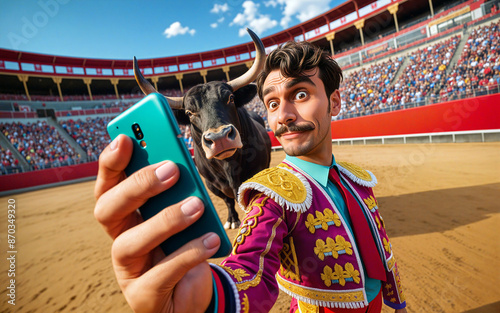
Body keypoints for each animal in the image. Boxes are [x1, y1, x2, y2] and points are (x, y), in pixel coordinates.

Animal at [134, 29, 270, 228]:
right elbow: (228, 200)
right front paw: (232, 220)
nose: (220, 138)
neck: (229, 166)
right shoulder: (211, 184)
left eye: (230, 98)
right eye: (189, 112)